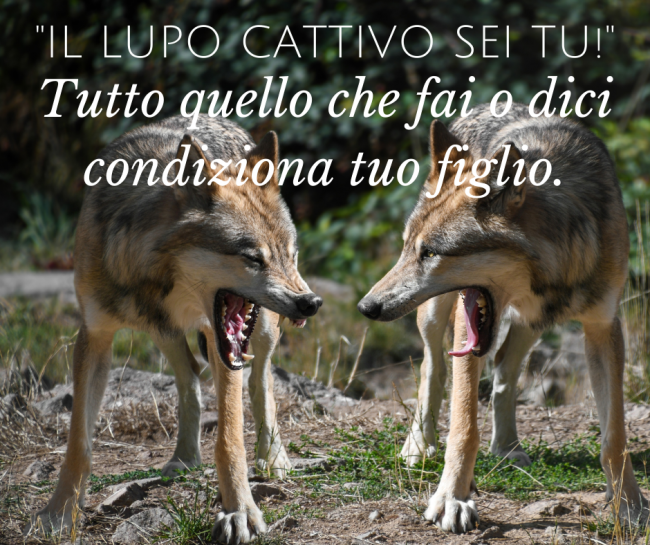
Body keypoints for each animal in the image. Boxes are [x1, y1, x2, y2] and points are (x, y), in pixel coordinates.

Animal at [25, 114, 322, 543]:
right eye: (253, 258)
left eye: (289, 255)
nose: (311, 303)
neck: (154, 278)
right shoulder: (94, 335)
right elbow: (78, 443)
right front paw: (60, 512)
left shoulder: (221, 341)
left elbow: (230, 439)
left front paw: (239, 511)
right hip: (164, 335)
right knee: (190, 377)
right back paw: (184, 457)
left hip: (261, 329)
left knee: (260, 380)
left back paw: (273, 457)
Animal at [358, 103, 645, 533]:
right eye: (411, 249)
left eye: (430, 253)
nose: (366, 307)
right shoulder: (468, 320)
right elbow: (463, 426)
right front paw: (452, 498)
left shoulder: (603, 327)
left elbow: (614, 437)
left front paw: (628, 504)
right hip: (435, 316)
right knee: (433, 368)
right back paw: (419, 445)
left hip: (532, 325)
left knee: (504, 370)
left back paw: (508, 446)